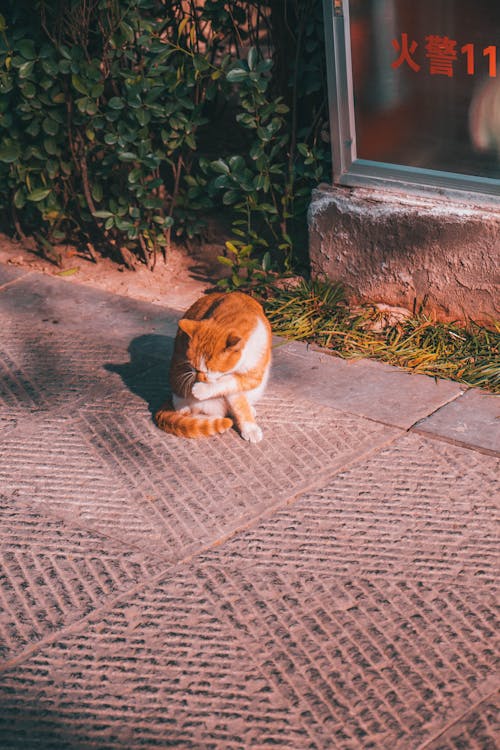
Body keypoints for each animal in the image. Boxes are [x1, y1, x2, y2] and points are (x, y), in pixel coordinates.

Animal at [157, 290, 272, 440]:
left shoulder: (253, 375)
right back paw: (210, 420)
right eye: (194, 367)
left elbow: (229, 385)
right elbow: (236, 398)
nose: (198, 379)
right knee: (186, 411)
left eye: (209, 371)